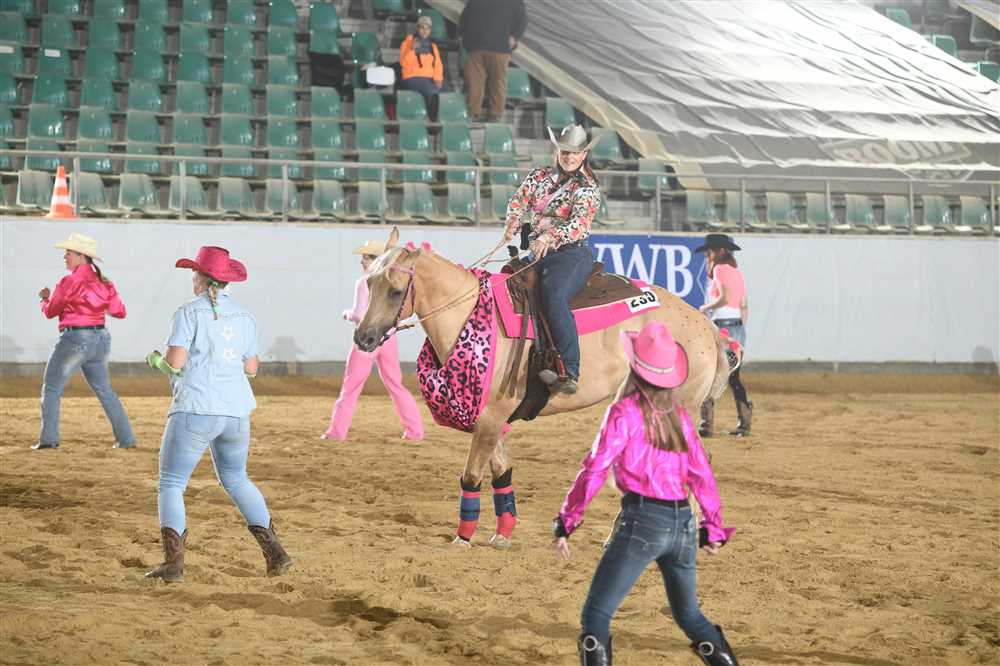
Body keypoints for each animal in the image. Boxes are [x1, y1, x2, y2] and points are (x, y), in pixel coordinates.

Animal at [354, 228, 729, 547]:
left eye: (396, 291)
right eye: (370, 282)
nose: (363, 338)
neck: (469, 312)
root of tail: (706, 326)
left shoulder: (492, 414)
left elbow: (473, 473)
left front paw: (463, 537)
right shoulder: (489, 418)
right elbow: (500, 471)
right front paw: (503, 533)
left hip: (674, 407)